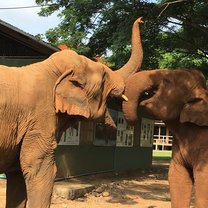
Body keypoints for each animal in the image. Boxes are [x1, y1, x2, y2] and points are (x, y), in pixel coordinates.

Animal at [0, 17, 143, 208]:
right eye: (104, 76)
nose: (141, 20)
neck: (49, 70)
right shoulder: (40, 117)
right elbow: (39, 168)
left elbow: (17, 172)